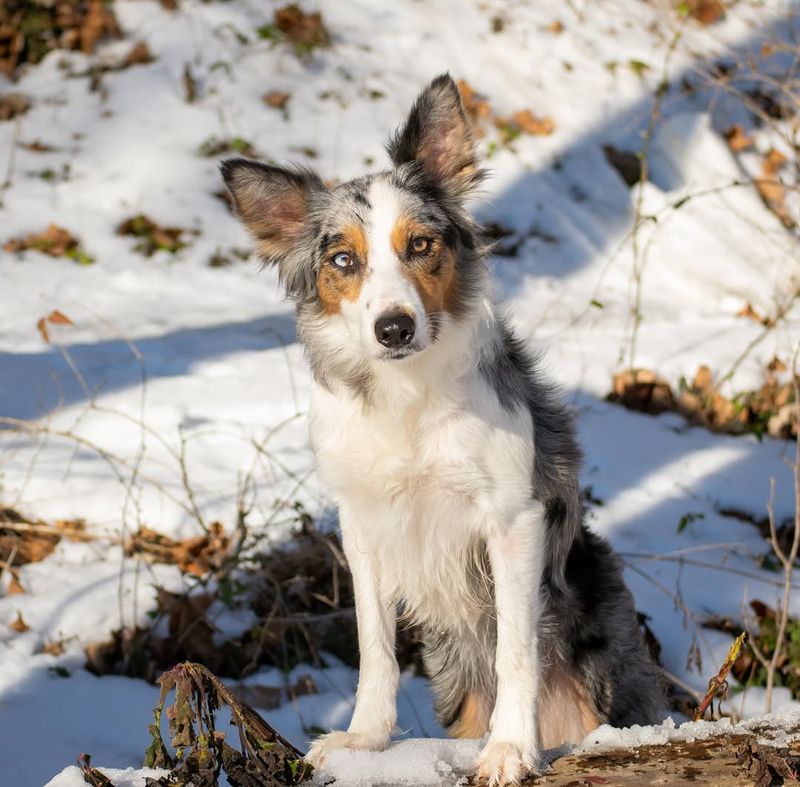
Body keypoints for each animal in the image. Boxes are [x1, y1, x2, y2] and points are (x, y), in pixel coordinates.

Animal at [223, 75, 664, 787]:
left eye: (421, 246)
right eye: (343, 259)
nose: (394, 328)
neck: (406, 398)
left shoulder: (513, 520)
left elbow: (516, 647)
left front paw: (509, 749)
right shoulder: (364, 524)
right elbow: (374, 645)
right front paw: (363, 740)